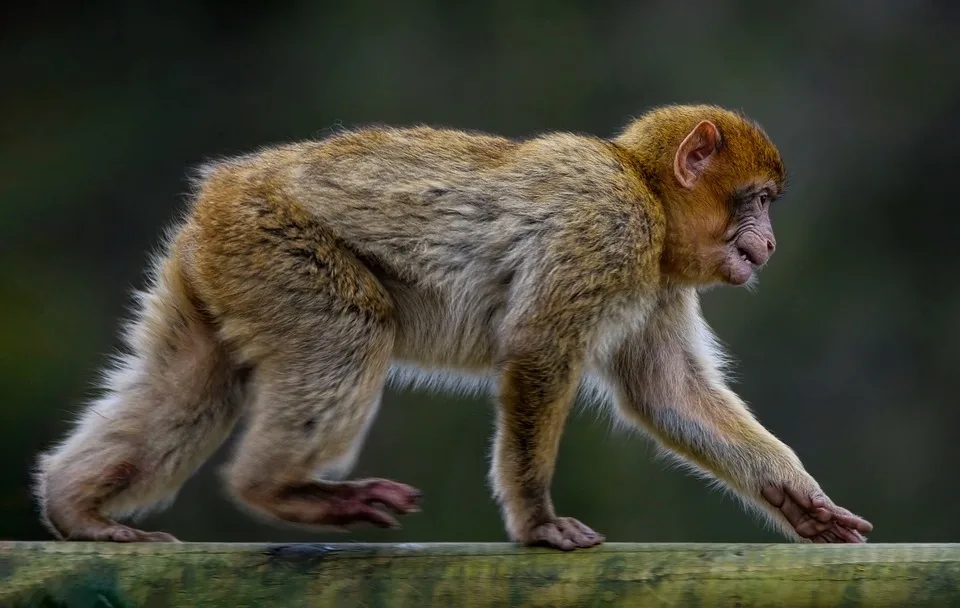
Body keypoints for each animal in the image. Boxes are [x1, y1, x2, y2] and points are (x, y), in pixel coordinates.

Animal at [31, 102, 872, 548]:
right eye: (755, 201)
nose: (769, 242)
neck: (646, 193)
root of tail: (225, 185)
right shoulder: (608, 228)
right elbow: (539, 352)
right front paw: (536, 521)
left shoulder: (659, 281)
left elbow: (666, 392)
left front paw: (796, 498)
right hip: (271, 239)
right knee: (351, 328)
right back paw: (275, 488)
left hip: (216, 263)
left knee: (192, 382)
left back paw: (79, 510)